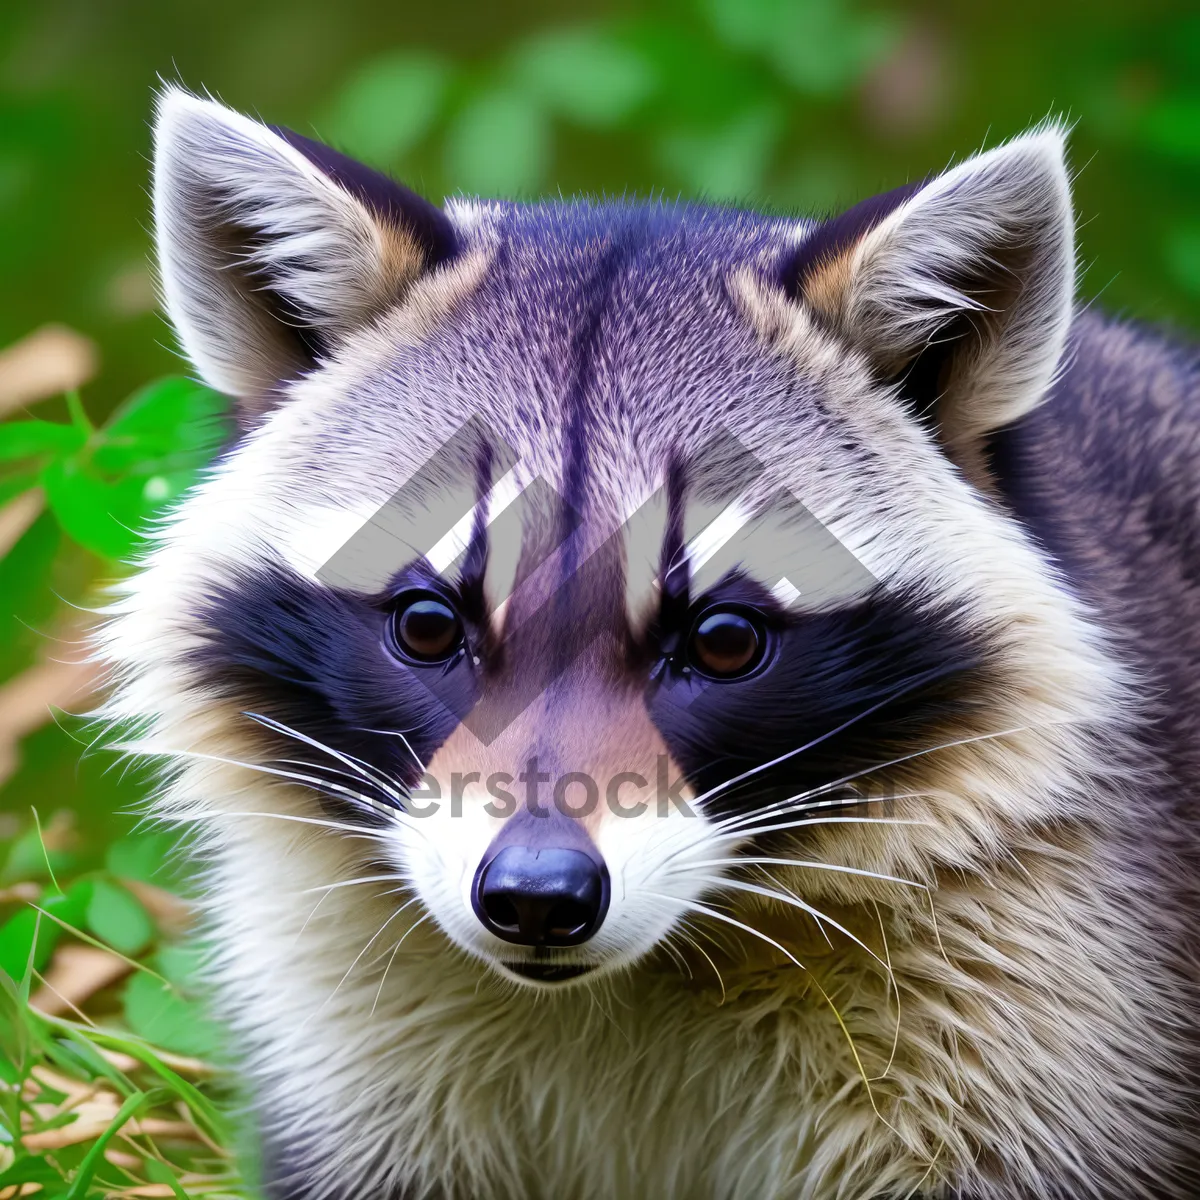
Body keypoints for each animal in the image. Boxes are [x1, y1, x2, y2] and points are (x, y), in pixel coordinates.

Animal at [96, 87, 1200, 1200]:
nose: (537, 900)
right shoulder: (349, 1037)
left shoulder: (1031, 1000)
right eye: (429, 625)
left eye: (722, 642)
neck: (650, 964)